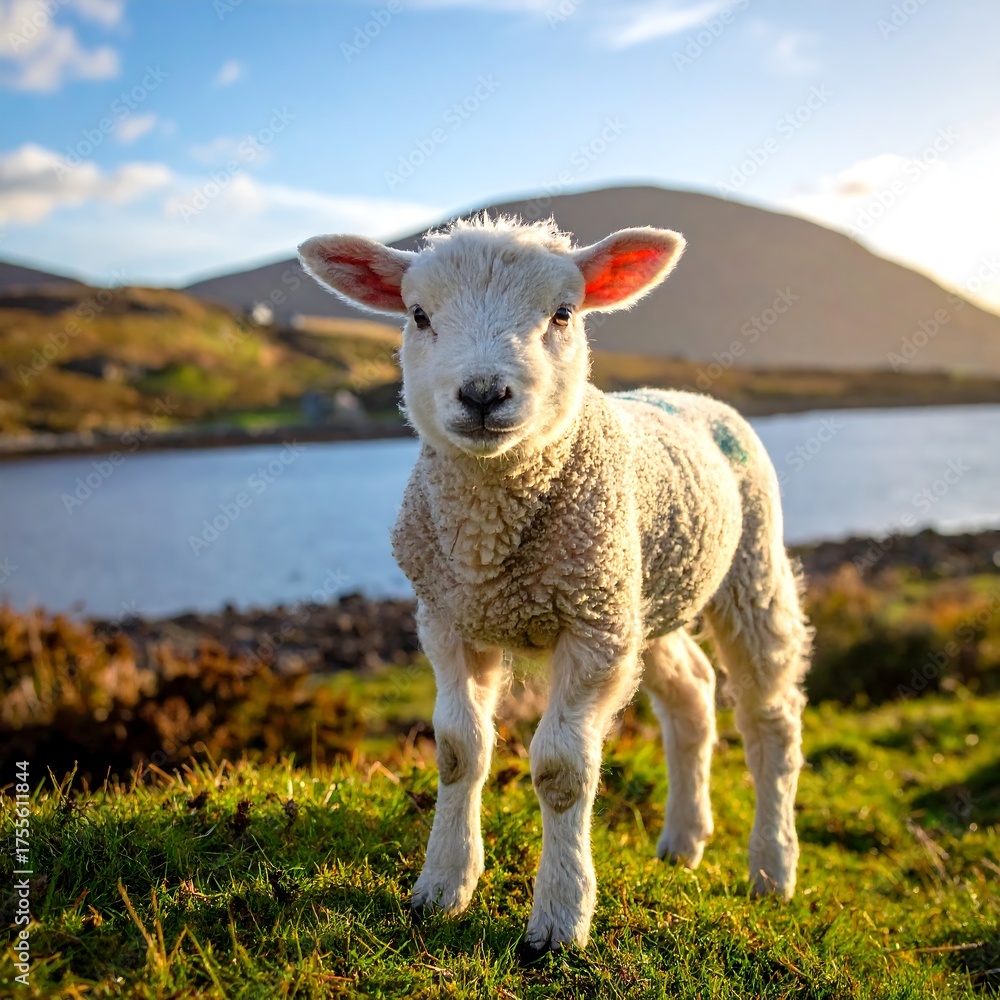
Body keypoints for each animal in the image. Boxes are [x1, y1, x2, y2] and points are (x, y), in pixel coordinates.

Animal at [299, 216, 812, 957]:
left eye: (564, 314)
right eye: (418, 315)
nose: (483, 394)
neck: (490, 535)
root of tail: (698, 398)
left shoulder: (592, 632)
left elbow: (561, 771)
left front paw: (560, 919)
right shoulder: (448, 618)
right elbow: (458, 750)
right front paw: (442, 886)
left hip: (744, 572)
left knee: (771, 717)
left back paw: (772, 865)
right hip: (639, 592)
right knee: (691, 691)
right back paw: (683, 841)